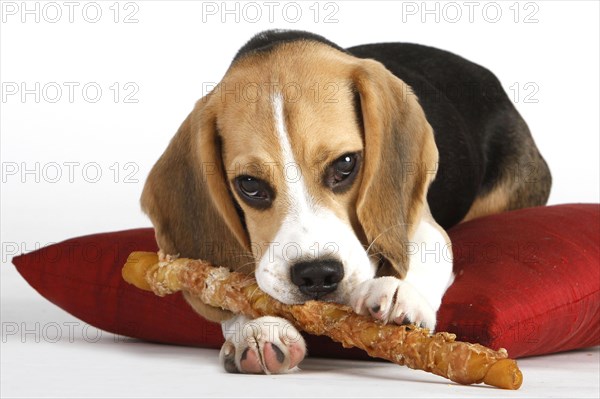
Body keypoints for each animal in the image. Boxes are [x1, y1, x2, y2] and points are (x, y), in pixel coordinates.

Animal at [139, 30, 548, 376]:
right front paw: (256, 329)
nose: (317, 274)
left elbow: (423, 248)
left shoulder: (424, 225)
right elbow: (226, 285)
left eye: (346, 164)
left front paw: (401, 293)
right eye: (250, 185)